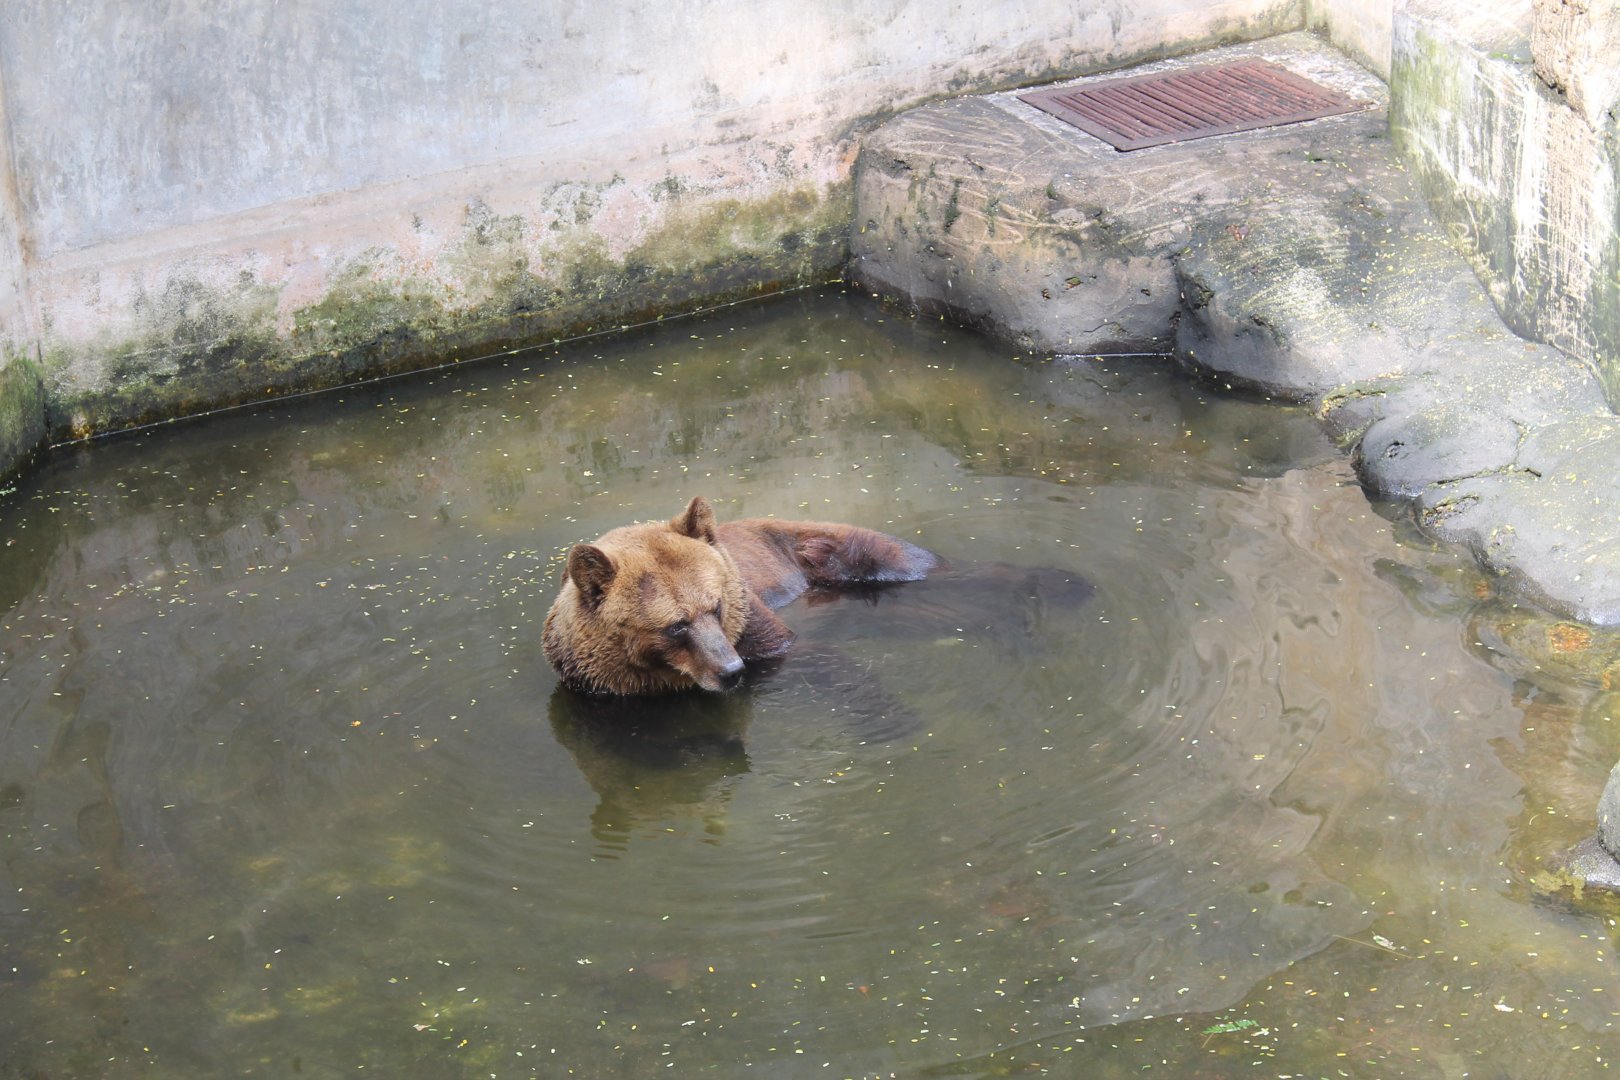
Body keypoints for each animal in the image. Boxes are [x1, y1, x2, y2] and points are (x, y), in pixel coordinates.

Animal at [542, 496, 937, 696]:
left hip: (842, 550)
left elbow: (795, 649)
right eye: (676, 625)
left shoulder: (752, 622)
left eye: (716, 606)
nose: (731, 671)